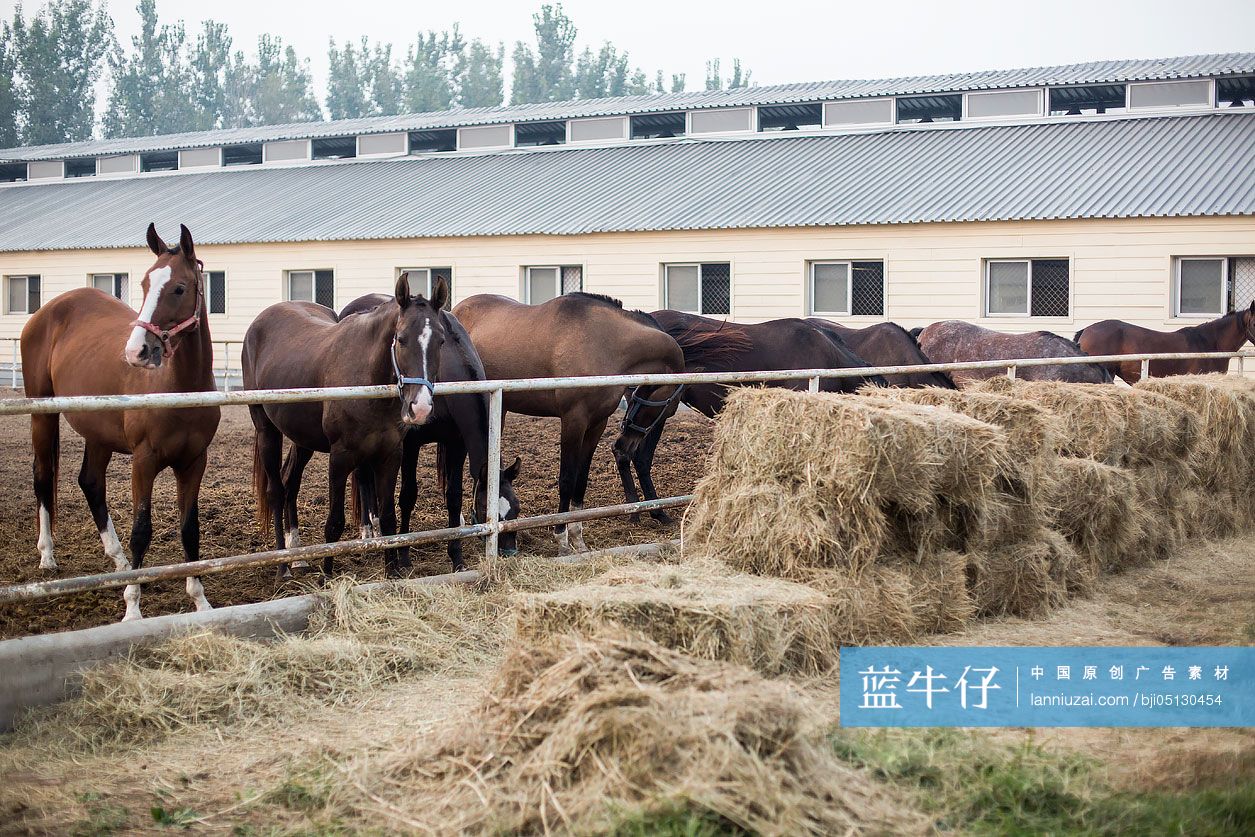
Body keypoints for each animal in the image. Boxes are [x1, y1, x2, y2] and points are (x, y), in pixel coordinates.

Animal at [20, 223, 220, 621]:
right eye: (143, 283)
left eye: (179, 288)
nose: (137, 351)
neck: (178, 388)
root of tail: (47, 310)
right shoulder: (144, 461)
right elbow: (142, 529)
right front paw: (132, 609)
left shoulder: (194, 462)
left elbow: (190, 529)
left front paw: (200, 600)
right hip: (43, 414)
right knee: (43, 476)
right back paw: (48, 556)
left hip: (98, 433)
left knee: (90, 482)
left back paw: (120, 562)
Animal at [243, 273, 447, 579]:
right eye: (401, 339)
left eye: (441, 341)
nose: (420, 407)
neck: (366, 377)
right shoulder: (340, 457)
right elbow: (335, 522)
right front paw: (327, 576)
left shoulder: (390, 455)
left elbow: (388, 518)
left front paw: (392, 572)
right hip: (267, 430)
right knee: (276, 491)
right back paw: (283, 566)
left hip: (302, 438)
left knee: (291, 481)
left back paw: (297, 555)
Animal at [334, 292, 523, 571]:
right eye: (486, 508)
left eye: (516, 509)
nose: (508, 553)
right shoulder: (411, 444)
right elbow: (408, 496)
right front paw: (403, 555)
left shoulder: (457, 443)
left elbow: (453, 496)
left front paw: (457, 557)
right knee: (363, 476)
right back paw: (369, 530)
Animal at [452, 292, 686, 555]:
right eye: (664, 405)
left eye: (643, 392)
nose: (624, 444)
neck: (605, 343)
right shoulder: (573, 421)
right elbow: (566, 479)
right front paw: (561, 537)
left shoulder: (596, 424)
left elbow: (580, 480)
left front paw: (577, 537)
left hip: (499, 408)